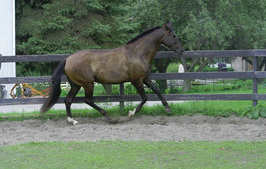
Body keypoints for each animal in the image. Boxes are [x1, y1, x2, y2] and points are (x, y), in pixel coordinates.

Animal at [40, 23, 184, 125]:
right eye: (173, 35)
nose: (182, 51)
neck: (137, 53)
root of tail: (67, 59)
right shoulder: (136, 80)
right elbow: (144, 98)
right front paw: (131, 113)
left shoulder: (145, 78)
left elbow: (157, 90)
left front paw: (168, 109)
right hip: (88, 84)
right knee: (88, 100)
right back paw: (108, 116)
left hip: (76, 85)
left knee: (68, 100)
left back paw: (72, 120)